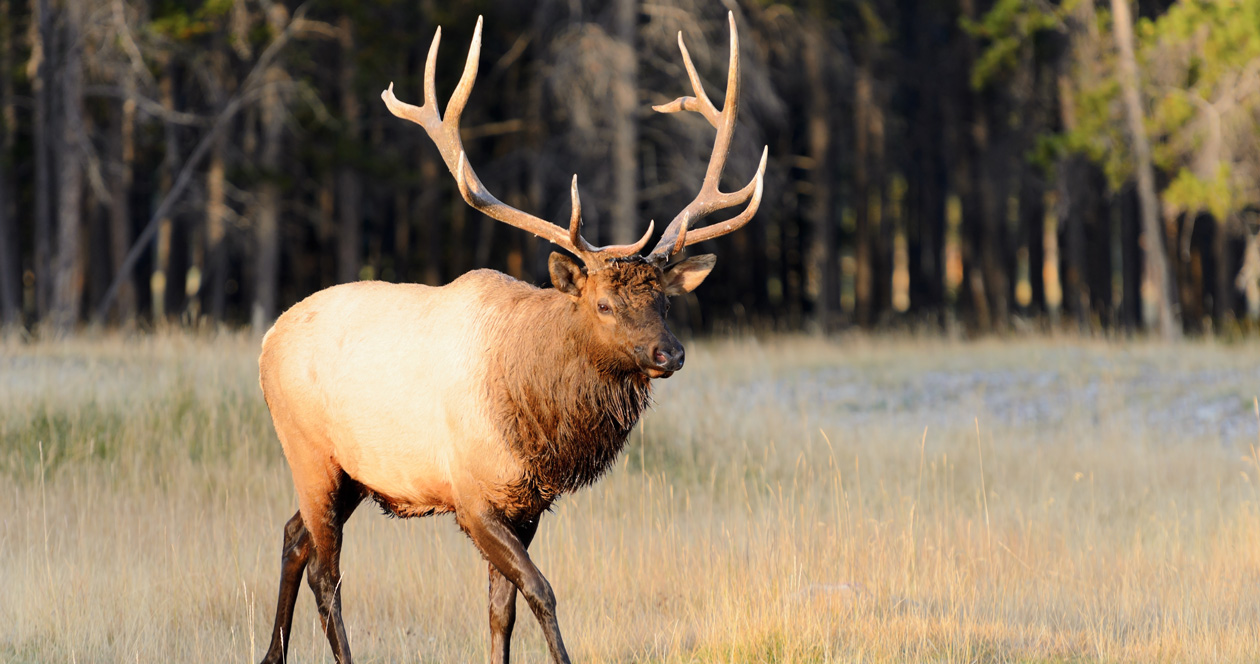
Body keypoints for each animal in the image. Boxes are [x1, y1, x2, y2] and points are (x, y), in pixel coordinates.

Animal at [257, 11, 766, 664]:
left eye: (664, 299)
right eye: (603, 304)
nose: (669, 353)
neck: (537, 422)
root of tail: (267, 339)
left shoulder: (526, 504)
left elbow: (502, 612)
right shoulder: (472, 495)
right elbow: (541, 591)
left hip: (353, 472)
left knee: (293, 535)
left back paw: (271, 652)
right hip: (309, 449)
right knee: (327, 571)